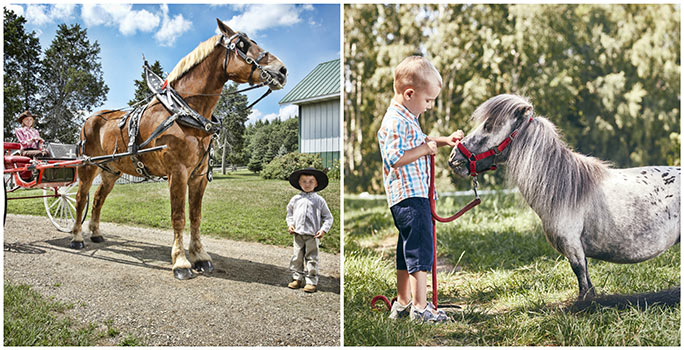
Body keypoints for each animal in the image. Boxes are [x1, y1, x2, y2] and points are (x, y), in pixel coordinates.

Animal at [71, 19, 288, 282]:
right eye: (242, 45)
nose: (282, 70)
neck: (185, 112)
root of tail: (90, 118)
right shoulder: (177, 172)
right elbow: (179, 216)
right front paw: (181, 262)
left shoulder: (198, 176)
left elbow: (195, 216)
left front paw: (200, 256)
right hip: (87, 165)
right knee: (81, 198)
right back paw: (77, 237)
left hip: (111, 170)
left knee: (98, 199)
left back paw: (95, 233)